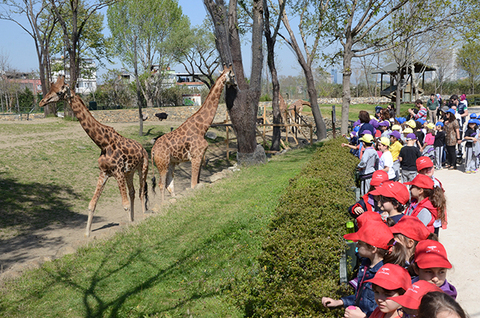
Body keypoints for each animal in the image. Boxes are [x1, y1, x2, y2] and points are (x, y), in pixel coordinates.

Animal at [38, 76, 149, 237]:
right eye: (50, 88)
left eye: (59, 92)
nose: (41, 102)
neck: (103, 143)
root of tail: (142, 148)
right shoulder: (104, 172)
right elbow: (92, 204)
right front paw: (87, 234)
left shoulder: (118, 172)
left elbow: (125, 205)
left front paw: (129, 230)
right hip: (130, 172)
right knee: (133, 192)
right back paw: (134, 219)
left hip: (143, 168)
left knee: (141, 192)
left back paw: (144, 216)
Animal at [152, 64, 236, 202]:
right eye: (233, 75)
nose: (236, 84)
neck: (202, 127)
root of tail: (153, 150)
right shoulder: (196, 156)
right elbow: (192, 184)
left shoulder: (201, 156)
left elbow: (196, 182)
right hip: (162, 164)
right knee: (161, 184)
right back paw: (164, 204)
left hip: (171, 163)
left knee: (169, 184)